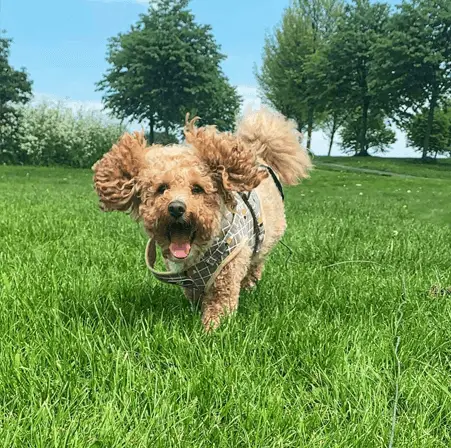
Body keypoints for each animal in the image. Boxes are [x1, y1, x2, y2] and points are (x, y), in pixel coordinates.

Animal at [93, 107, 312, 328]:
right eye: (161, 188)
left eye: (197, 189)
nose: (176, 208)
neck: (200, 251)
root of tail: (259, 153)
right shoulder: (187, 281)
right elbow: (196, 296)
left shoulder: (227, 275)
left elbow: (219, 306)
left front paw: (211, 330)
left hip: (264, 242)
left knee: (256, 262)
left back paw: (250, 284)